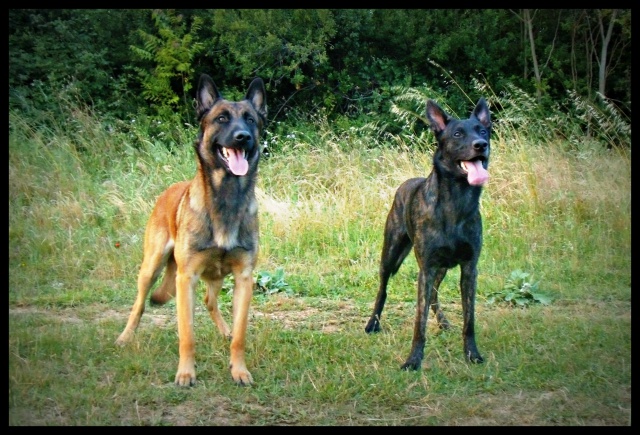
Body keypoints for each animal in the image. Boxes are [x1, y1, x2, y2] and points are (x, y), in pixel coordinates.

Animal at [117, 73, 268, 386]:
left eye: (250, 120)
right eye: (221, 118)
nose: (243, 136)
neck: (226, 196)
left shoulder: (243, 278)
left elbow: (241, 336)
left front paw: (239, 370)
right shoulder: (186, 278)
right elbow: (187, 335)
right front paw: (186, 373)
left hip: (216, 276)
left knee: (211, 302)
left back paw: (225, 331)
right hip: (151, 266)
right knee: (139, 304)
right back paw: (125, 337)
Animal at [364, 98, 490, 372]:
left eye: (483, 131)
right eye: (457, 134)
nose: (481, 145)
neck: (456, 201)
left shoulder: (469, 268)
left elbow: (469, 319)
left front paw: (472, 354)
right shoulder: (427, 268)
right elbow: (418, 322)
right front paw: (413, 360)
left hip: (441, 268)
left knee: (434, 294)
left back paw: (443, 322)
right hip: (391, 254)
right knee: (382, 289)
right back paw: (372, 324)